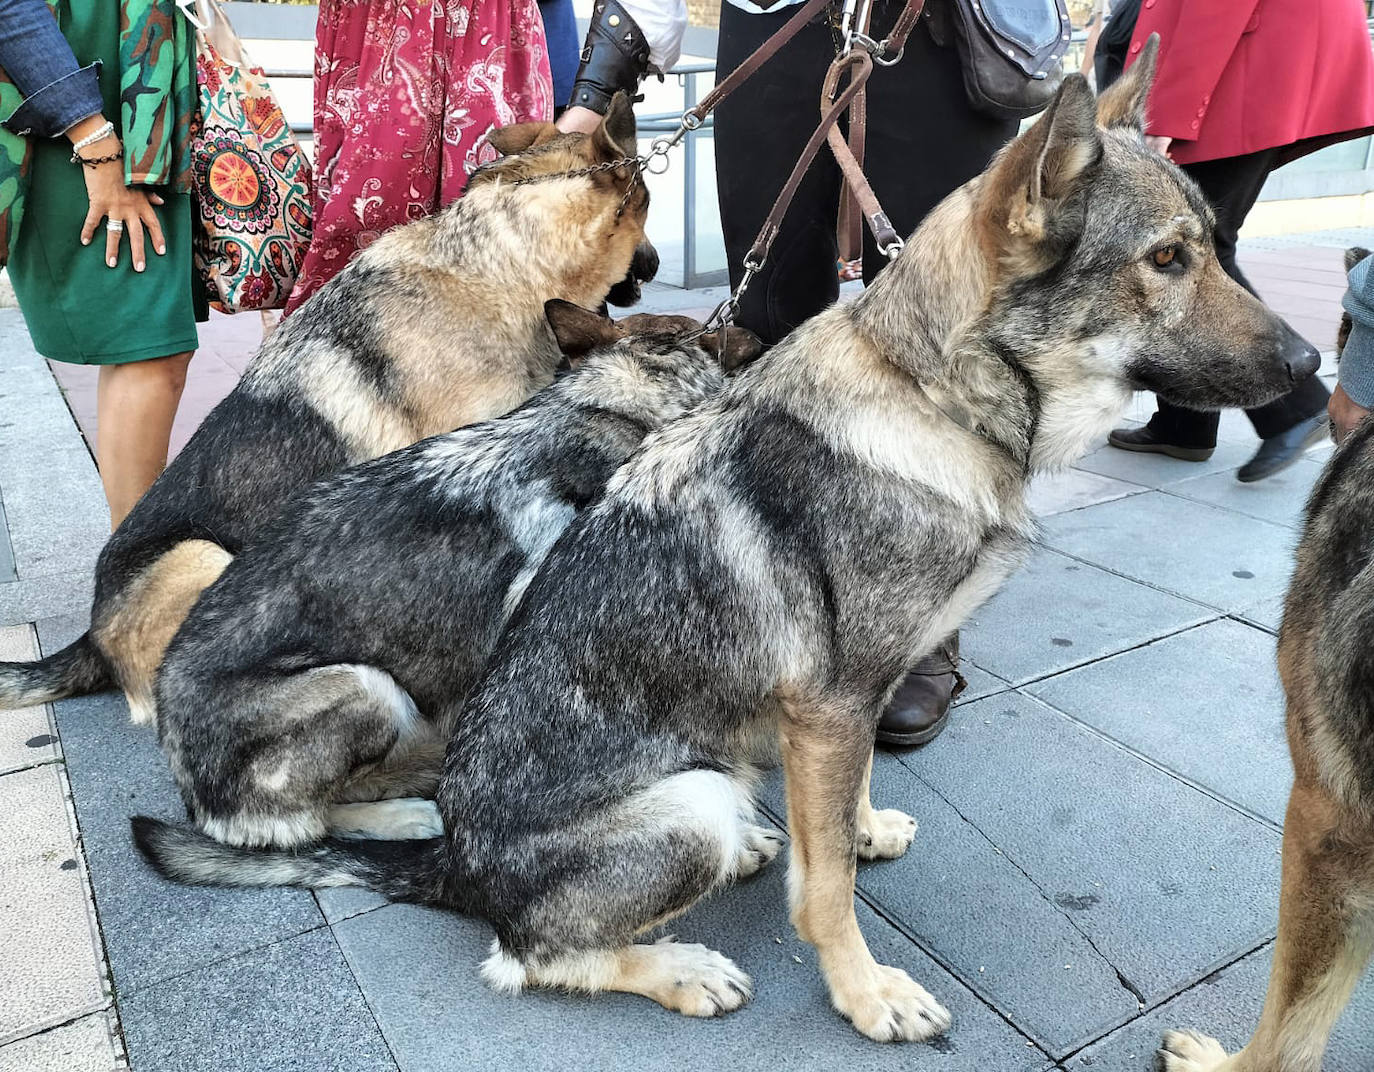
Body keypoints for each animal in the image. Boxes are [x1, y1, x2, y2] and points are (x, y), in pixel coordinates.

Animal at [151, 302, 760, 851]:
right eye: (715, 327)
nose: (757, 331)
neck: (610, 408)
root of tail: (194, 795)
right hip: (366, 687)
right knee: (314, 820)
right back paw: (405, 814)